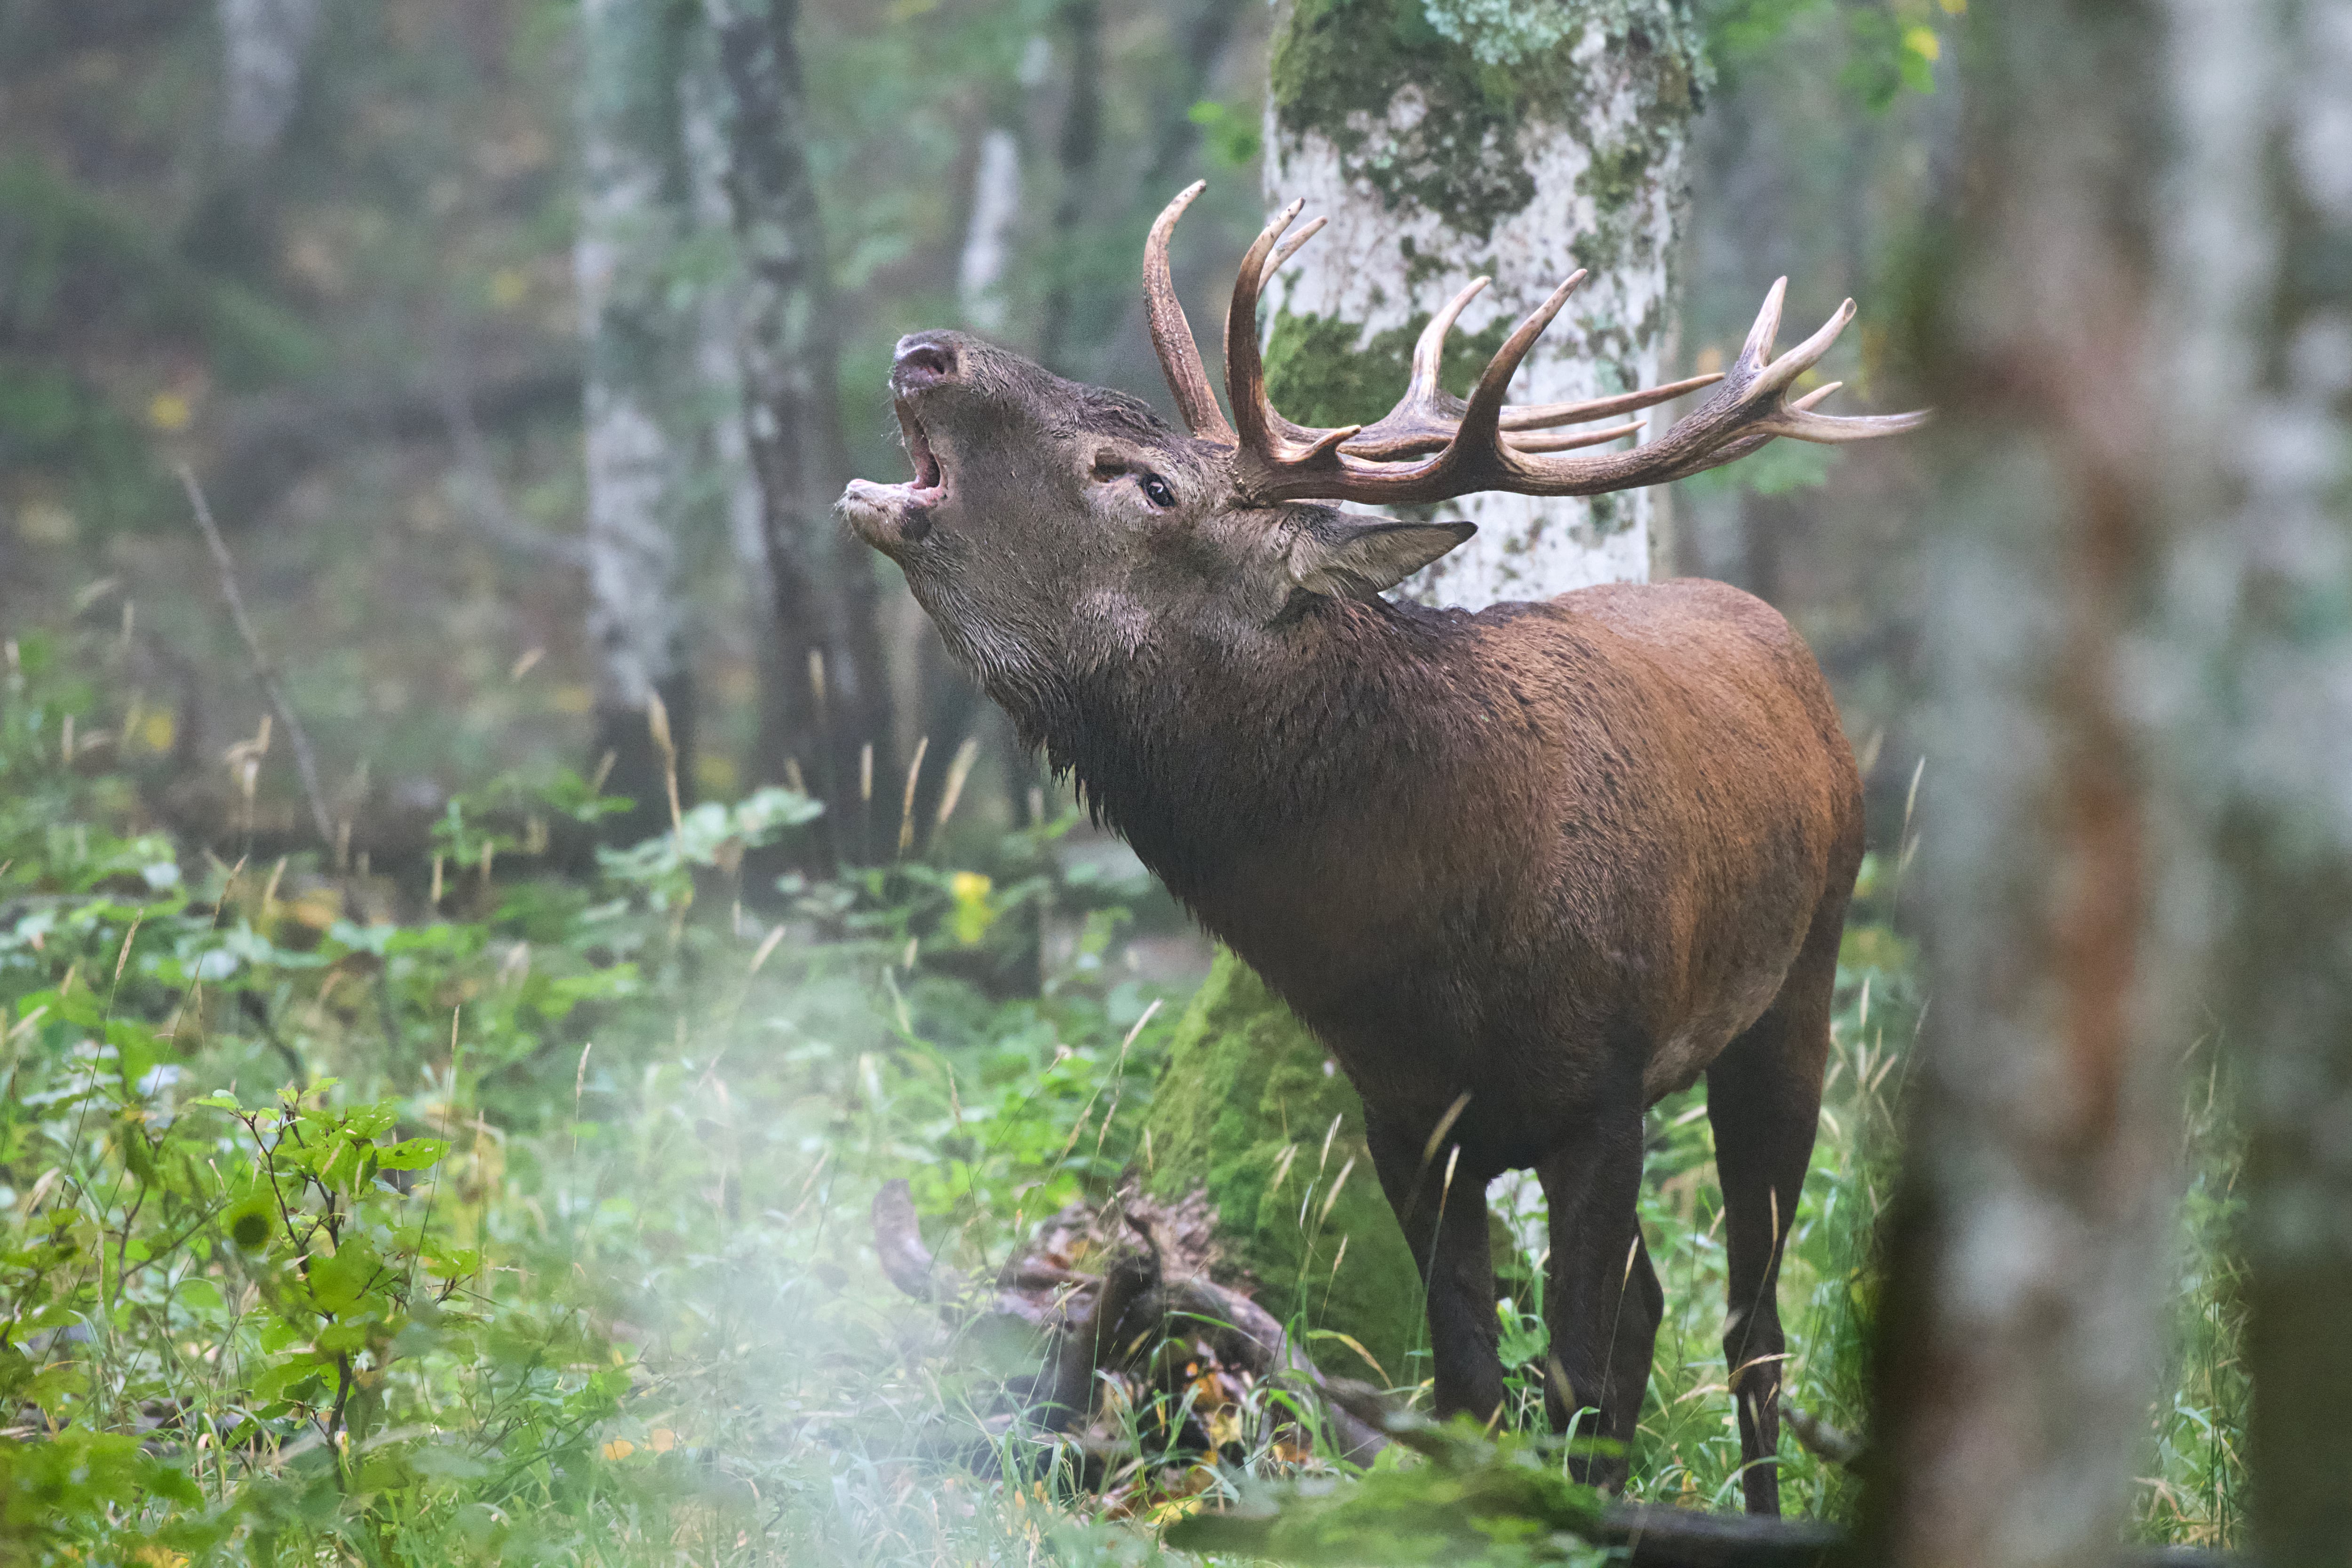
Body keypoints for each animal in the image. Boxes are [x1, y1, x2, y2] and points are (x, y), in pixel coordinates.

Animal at [838, 181, 1924, 1515]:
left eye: (1149, 485)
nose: (924, 352)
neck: (1418, 948)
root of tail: (1783, 639)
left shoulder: (1600, 1095)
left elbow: (1570, 1360)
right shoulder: (1403, 1117)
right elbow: (1471, 1382)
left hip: (1798, 988)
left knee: (1749, 1323)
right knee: (1659, 1311)